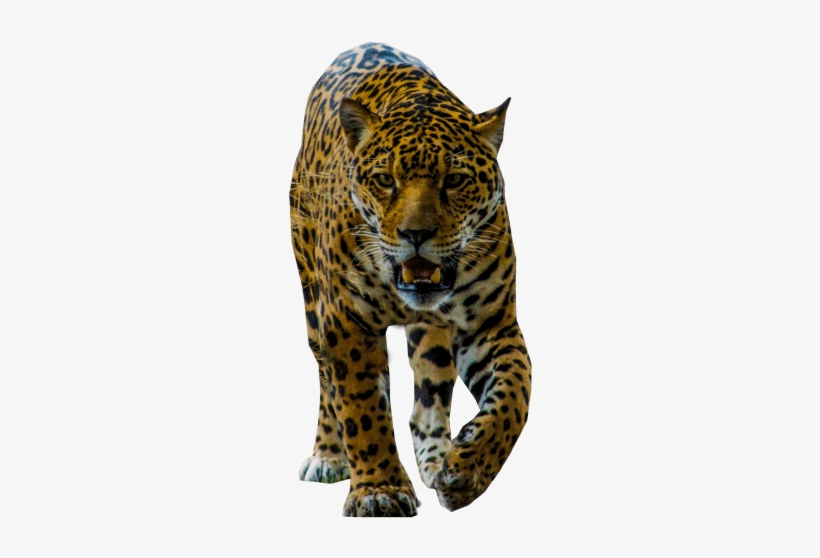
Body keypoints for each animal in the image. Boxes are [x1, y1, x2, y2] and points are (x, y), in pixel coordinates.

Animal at [289, 43, 531, 517]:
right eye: (385, 180)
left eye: (454, 180)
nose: (415, 235)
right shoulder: (346, 321)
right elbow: (362, 407)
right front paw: (379, 490)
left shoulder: (491, 323)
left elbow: (515, 395)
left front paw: (467, 470)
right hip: (312, 302)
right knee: (327, 380)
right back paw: (328, 455)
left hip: (432, 337)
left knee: (429, 397)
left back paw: (437, 460)